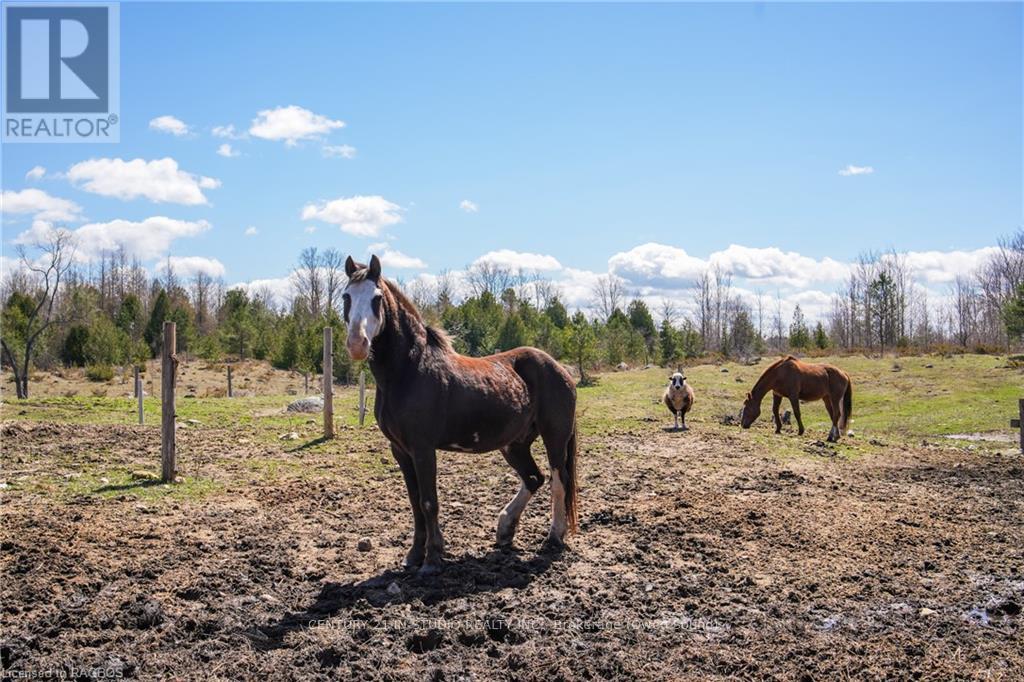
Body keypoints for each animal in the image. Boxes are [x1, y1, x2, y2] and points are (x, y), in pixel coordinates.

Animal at [344, 254, 581, 573]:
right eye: (346, 296)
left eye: (377, 298)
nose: (357, 345)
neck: (408, 371)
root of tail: (559, 369)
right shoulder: (400, 450)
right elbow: (415, 502)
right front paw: (414, 556)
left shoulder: (423, 448)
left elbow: (428, 501)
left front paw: (432, 559)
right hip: (515, 444)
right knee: (534, 478)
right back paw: (505, 529)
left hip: (555, 437)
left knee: (559, 481)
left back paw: (554, 536)